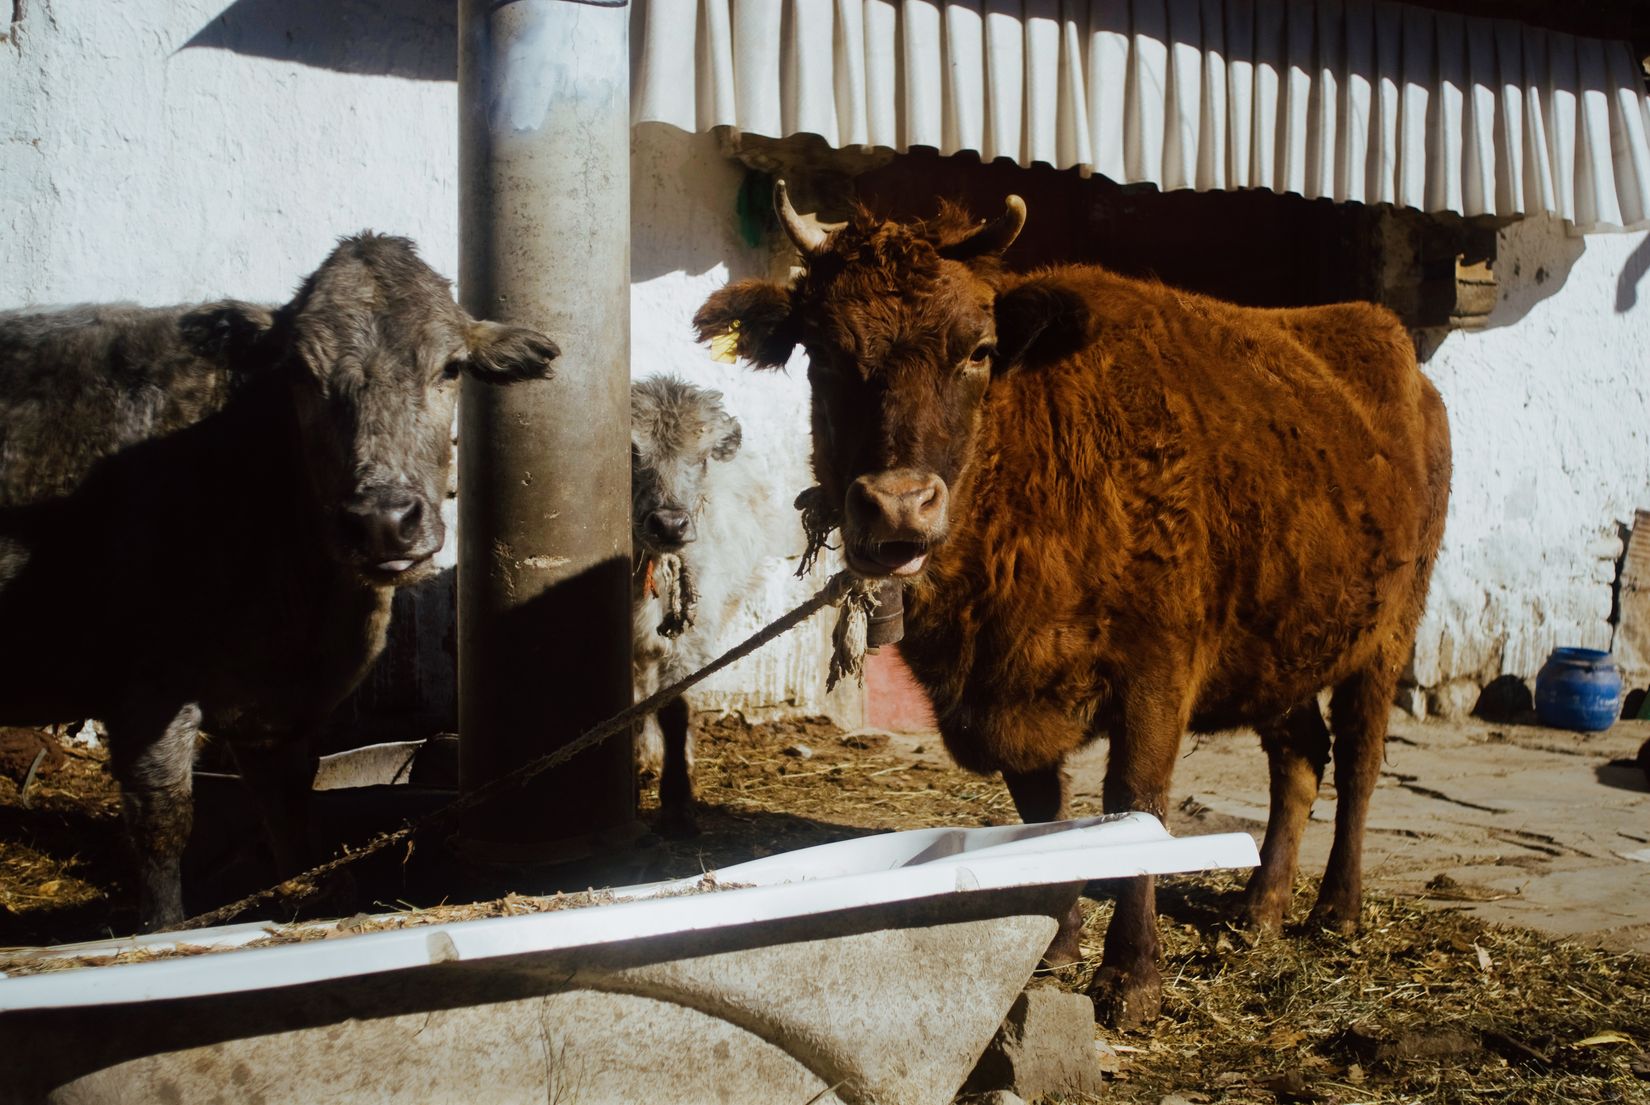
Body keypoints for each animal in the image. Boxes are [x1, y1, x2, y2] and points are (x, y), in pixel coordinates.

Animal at [0, 233, 559, 931]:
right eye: (301, 375)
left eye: (451, 368)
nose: (383, 521)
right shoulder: (146, 690)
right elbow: (162, 831)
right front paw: (164, 929)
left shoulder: (280, 717)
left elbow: (293, 820)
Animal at [629, 374, 745, 837]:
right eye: (631, 451)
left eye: (702, 457)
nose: (669, 524)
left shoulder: (689, 640)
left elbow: (674, 709)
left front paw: (678, 801)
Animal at [694, 183, 1452, 1028]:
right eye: (822, 353)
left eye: (978, 350)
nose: (898, 506)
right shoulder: (1003, 693)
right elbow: (1043, 812)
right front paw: (1053, 945)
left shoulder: (1157, 672)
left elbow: (1134, 802)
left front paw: (1132, 973)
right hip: (1280, 643)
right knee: (1298, 759)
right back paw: (1260, 908)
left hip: (1387, 635)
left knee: (1358, 759)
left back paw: (1336, 910)